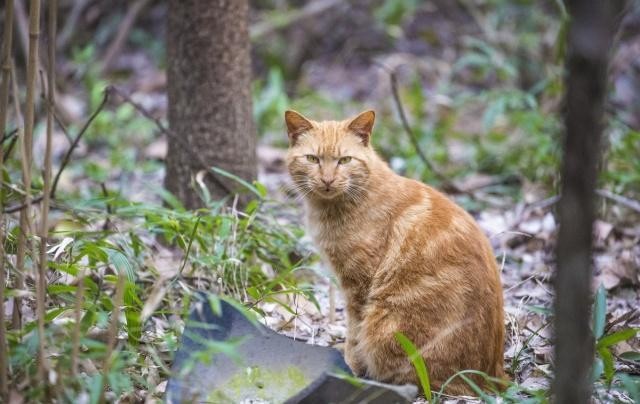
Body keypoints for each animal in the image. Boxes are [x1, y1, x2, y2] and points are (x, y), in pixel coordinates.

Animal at [284, 109, 504, 394]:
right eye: (313, 159)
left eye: (344, 160)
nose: (328, 179)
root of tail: (493, 378)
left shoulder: (358, 287)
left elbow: (354, 334)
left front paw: (348, 367)